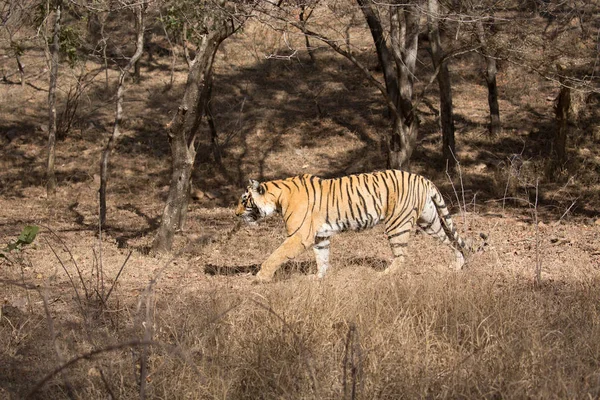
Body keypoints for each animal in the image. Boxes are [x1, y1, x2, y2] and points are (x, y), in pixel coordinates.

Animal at [236, 170, 474, 282]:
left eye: (244, 200)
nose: (236, 214)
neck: (278, 198)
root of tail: (423, 179)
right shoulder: (320, 236)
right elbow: (322, 257)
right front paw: (318, 277)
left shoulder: (299, 235)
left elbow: (276, 255)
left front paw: (261, 277)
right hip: (429, 221)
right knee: (451, 241)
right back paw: (457, 265)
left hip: (397, 224)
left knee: (402, 256)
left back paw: (383, 275)